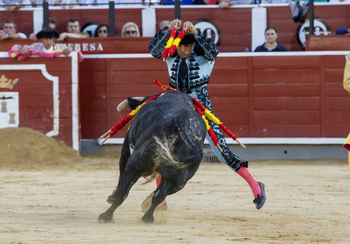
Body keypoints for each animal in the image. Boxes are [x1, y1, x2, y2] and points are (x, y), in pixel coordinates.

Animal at [98, 89, 206, 223]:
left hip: (135, 164)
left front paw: (111, 198)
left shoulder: (126, 151)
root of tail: (182, 120)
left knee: (123, 192)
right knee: (159, 195)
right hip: (179, 181)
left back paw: (106, 216)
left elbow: (121, 179)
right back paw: (148, 217)